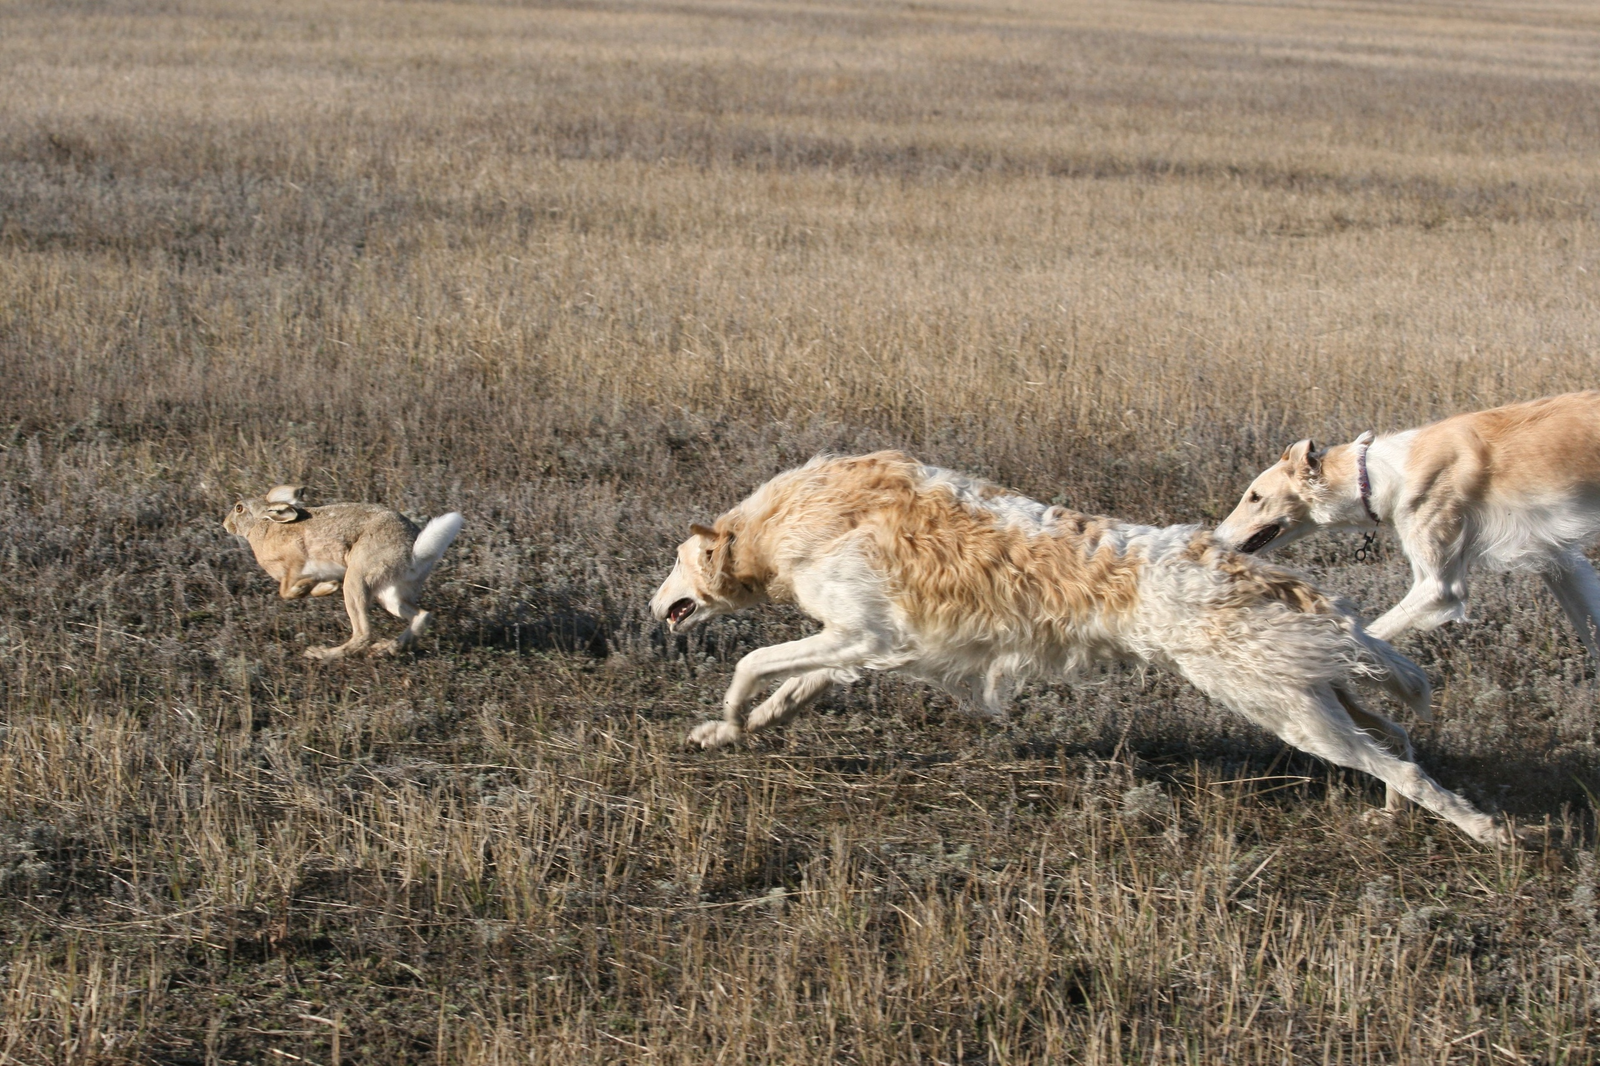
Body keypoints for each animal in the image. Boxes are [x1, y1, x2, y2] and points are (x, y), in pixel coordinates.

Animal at [649, 451, 1510, 845]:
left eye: (675, 563)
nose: (654, 606)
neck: (789, 519)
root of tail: (1250, 568)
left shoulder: (857, 631)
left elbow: (749, 665)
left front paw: (724, 719)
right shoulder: (864, 645)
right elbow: (786, 691)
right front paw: (727, 733)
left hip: (1286, 710)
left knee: (1399, 761)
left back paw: (1484, 830)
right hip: (1314, 691)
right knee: (1395, 739)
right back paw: (1396, 811)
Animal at [1216, 392, 1600, 656]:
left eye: (1254, 497)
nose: (1215, 538)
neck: (1375, 474)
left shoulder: (1439, 587)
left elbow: (1365, 636)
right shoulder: (1558, 560)